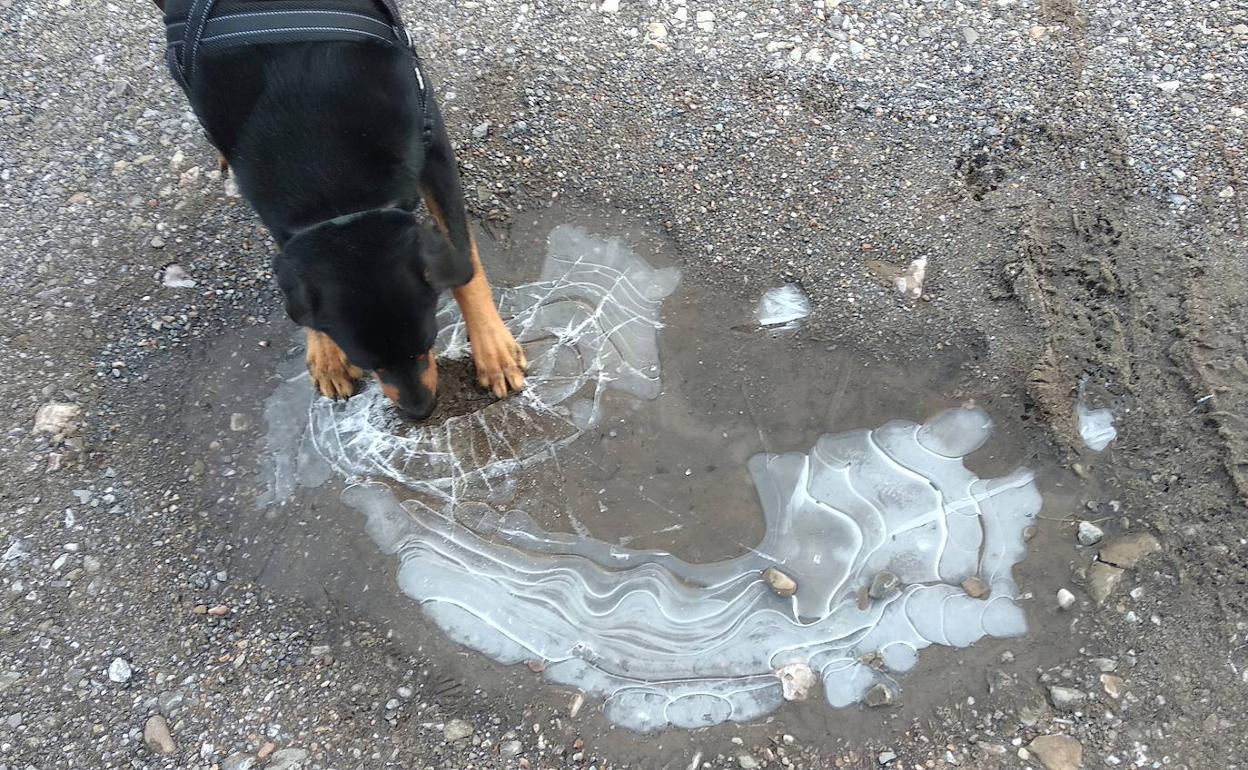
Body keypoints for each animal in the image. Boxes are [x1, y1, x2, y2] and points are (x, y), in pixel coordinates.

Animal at [157, 0, 526, 414]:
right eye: (369, 364)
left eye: (426, 344)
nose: (420, 412)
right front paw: (326, 354)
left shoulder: (433, 144)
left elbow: (465, 259)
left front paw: (493, 350)